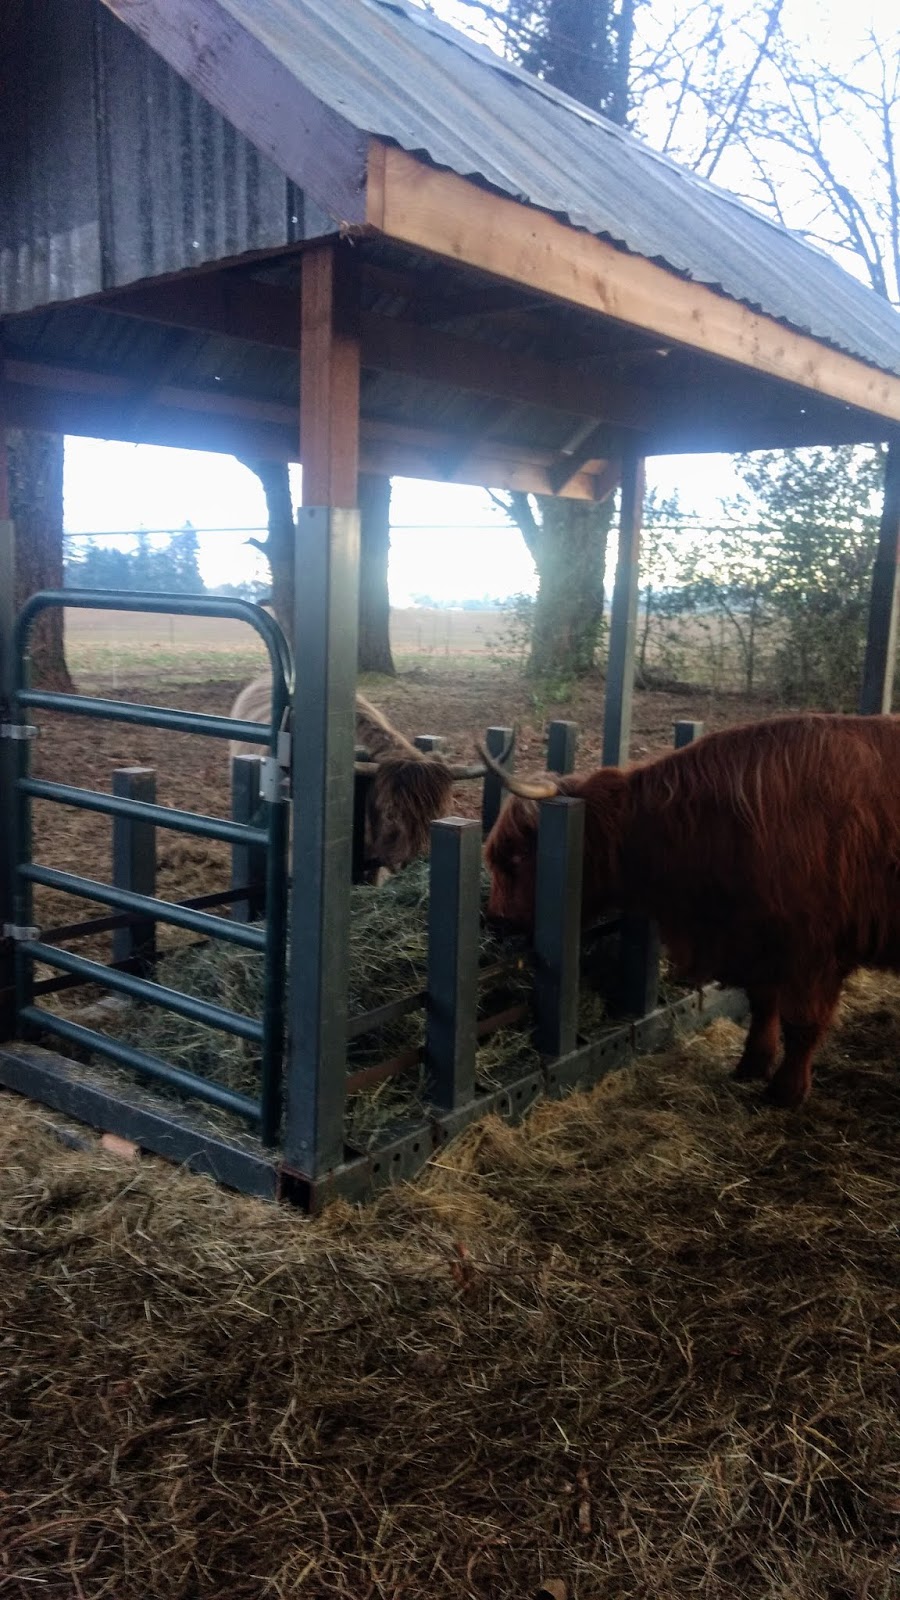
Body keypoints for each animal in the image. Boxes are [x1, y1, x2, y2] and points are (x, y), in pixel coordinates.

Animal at [482, 714, 900, 1109]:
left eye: (517, 858)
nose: (499, 919)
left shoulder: (813, 952)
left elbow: (802, 1023)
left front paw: (785, 1092)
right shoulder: (757, 942)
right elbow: (763, 1003)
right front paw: (751, 1065)